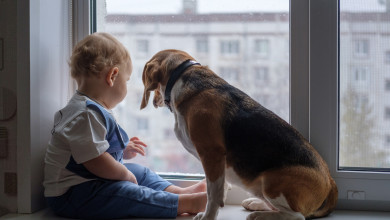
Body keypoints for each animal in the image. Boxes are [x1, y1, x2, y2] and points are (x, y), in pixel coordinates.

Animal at [140, 49, 338, 220]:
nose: (155, 100)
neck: (183, 76)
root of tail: (330, 181)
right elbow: (220, 189)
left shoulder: (211, 154)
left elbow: (213, 194)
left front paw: (208, 216)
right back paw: (257, 204)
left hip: (271, 181)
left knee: (297, 216)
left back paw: (260, 215)